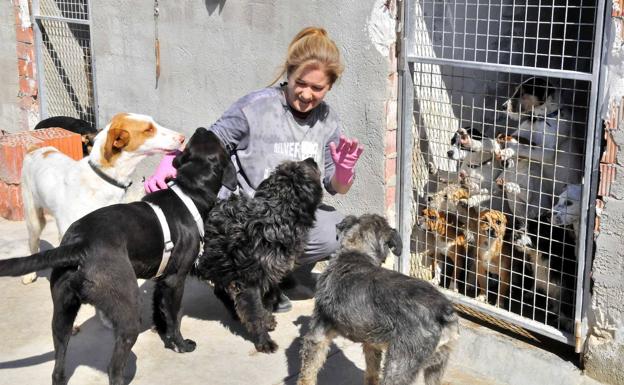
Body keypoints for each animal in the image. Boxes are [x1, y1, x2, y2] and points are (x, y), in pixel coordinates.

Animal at [19, 111, 184, 282]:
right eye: (148, 129)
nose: (183, 138)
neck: (104, 180)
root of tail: (36, 149)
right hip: (34, 219)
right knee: (33, 243)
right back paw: (30, 274)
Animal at [194, 156, 322, 352]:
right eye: (304, 167)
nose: (312, 159)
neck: (277, 217)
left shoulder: (271, 273)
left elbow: (266, 302)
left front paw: (267, 320)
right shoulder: (249, 281)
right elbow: (255, 312)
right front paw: (263, 340)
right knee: (220, 290)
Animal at [298, 213, 458, 384]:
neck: (356, 253)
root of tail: (444, 312)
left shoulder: (318, 333)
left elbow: (307, 373)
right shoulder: (371, 343)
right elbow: (372, 372)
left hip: (399, 364)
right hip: (435, 368)